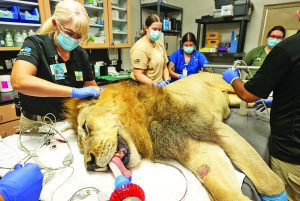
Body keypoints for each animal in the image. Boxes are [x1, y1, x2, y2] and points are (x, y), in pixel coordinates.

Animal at [64, 72, 284, 199]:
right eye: (80, 149)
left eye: (85, 127)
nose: (90, 164)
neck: (147, 123)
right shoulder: (195, 148)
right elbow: (220, 188)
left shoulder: (213, 126)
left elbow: (268, 183)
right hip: (234, 99)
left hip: (233, 86)